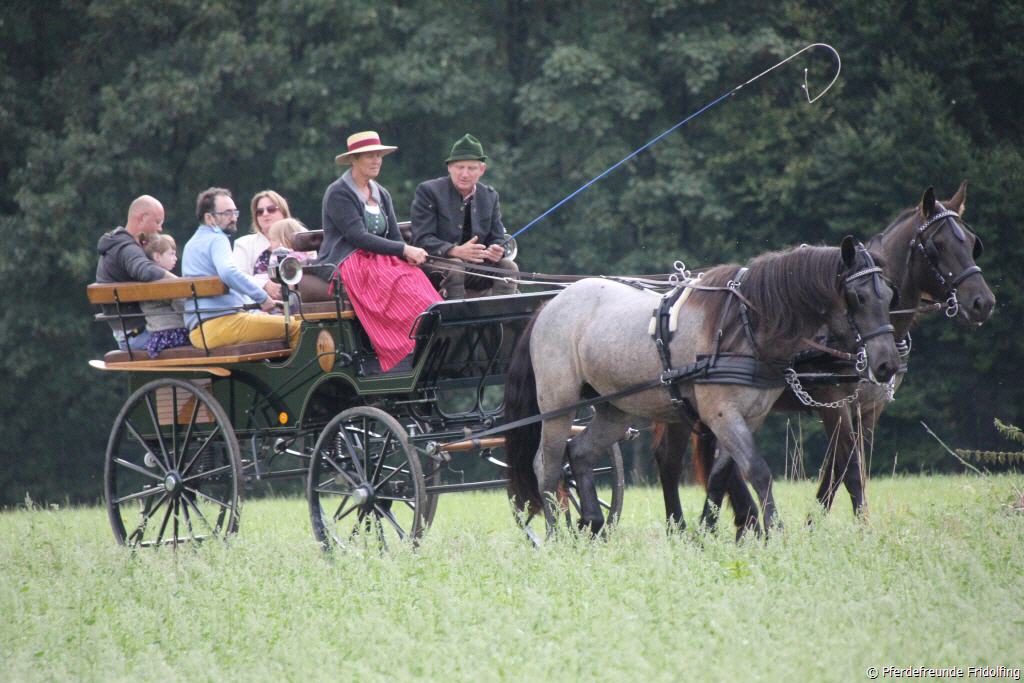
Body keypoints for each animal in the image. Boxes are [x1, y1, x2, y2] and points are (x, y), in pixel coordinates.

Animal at [504, 236, 901, 537]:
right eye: (858, 297)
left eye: (889, 295)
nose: (887, 364)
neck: (746, 323)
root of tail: (548, 305)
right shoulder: (722, 413)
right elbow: (758, 470)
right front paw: (773, 531)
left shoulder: (747, 417)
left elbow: (722, 474)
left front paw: (709, 530)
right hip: (558, 404)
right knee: (547, 465)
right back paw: (556, 532)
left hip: (615, 407)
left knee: (580, 454)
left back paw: (593, 524)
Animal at [654, 182, 996, 535]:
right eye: (938, 244)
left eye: (972, 243)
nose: (983, 302)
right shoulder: (832, 401)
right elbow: (849, 468)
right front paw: (852, 527)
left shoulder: (868, 408)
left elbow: (841, 466)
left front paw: (815, 522)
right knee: (670, 458)